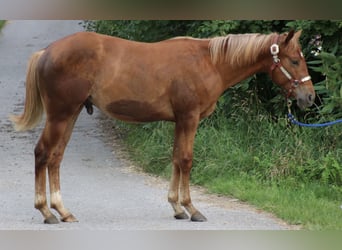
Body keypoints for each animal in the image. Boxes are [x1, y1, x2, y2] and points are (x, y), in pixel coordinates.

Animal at [10, 30, 316, 224]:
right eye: (294, 60)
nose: (310, 97)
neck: (209, 61)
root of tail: (47, 52)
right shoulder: (189, 118)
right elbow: (186, 160)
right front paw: (192, 208)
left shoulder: (180, 121)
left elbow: (176, 158)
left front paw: (177, 207)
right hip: (61, 115)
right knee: (43, 153)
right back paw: (46, 212)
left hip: (70, 115)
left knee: (55, 157)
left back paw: (63, 211)